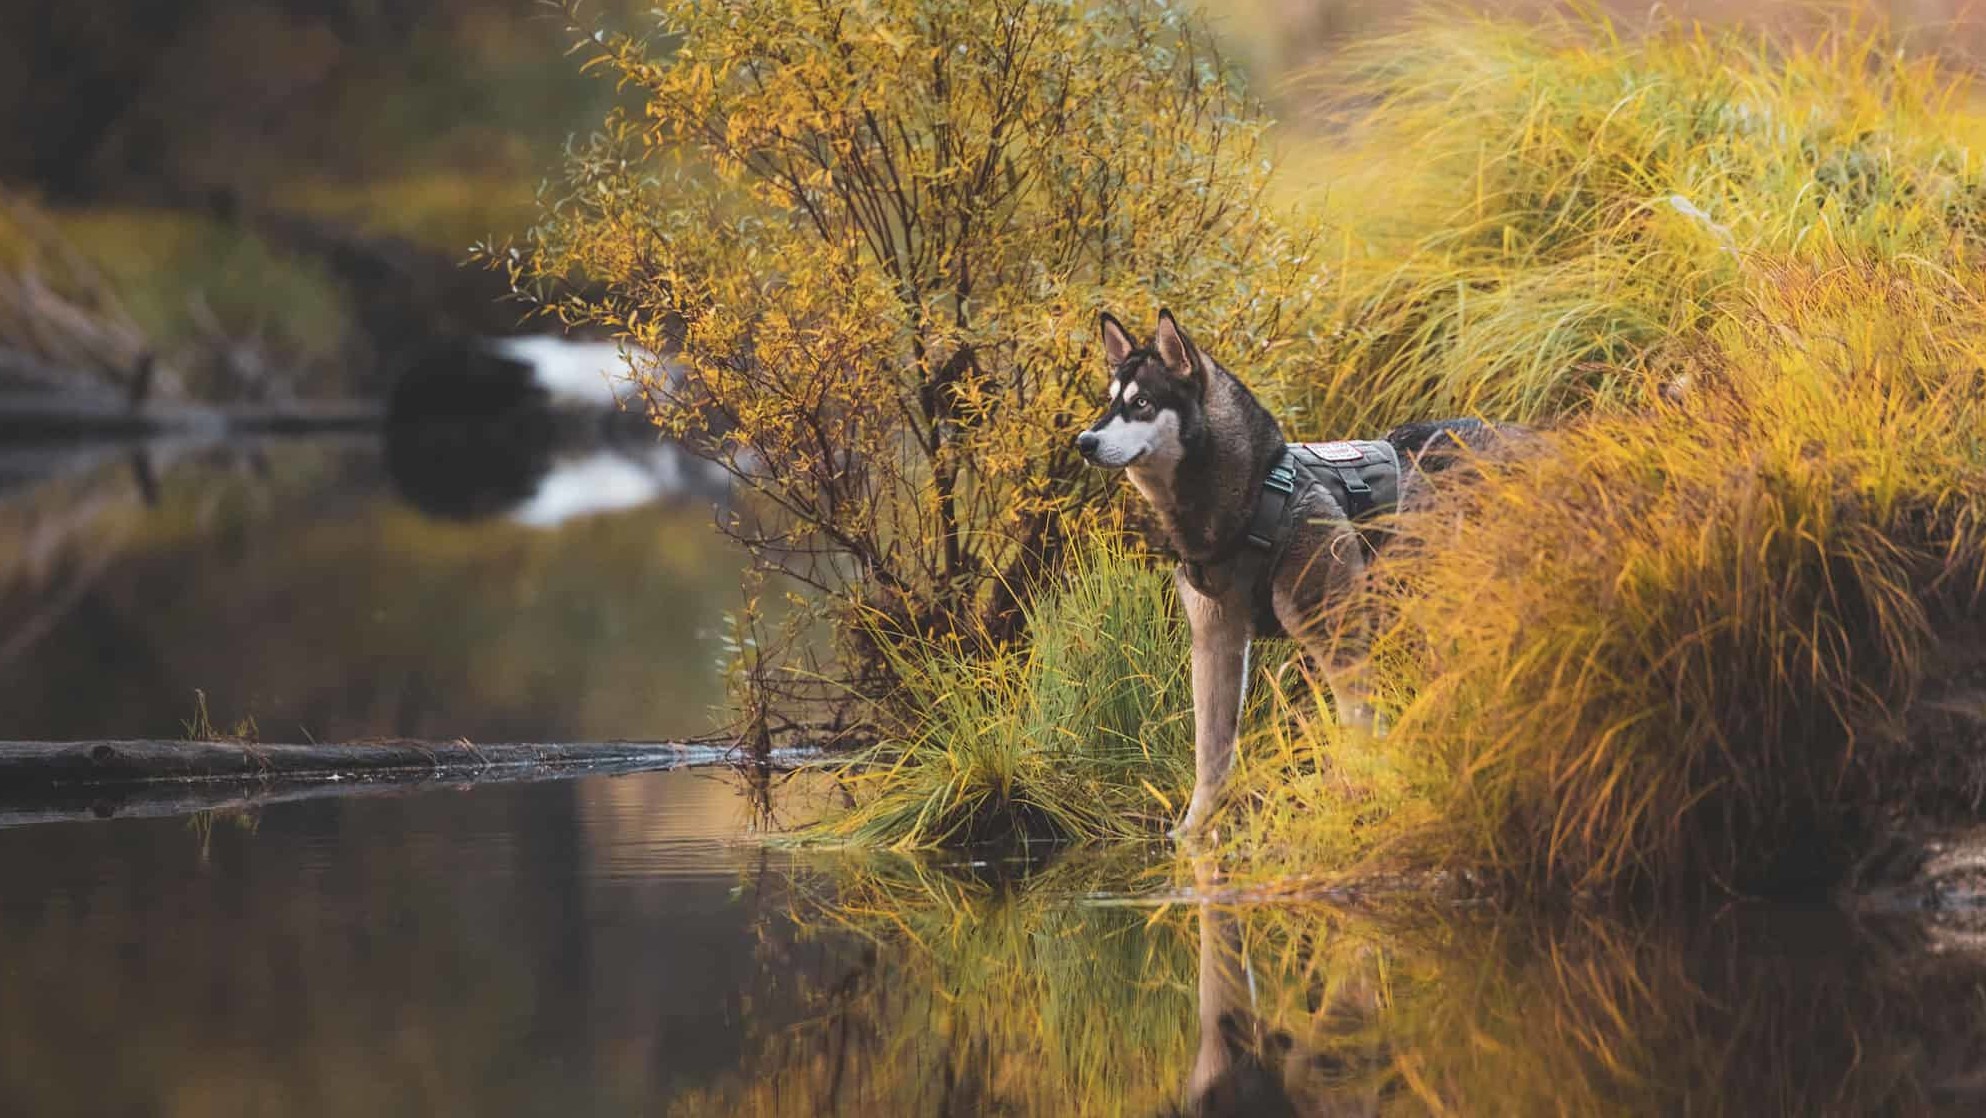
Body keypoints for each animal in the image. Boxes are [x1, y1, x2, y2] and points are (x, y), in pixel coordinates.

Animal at [1080, 309, 1509, 834]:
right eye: (1109, 402)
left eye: (1141, 402)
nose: (1084, 441)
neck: (1251, 495)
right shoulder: (1216, 641)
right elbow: (1211, 756)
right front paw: (1193, 832)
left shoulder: (1337, 634)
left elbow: (1361, 725)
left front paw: (1365, 796)